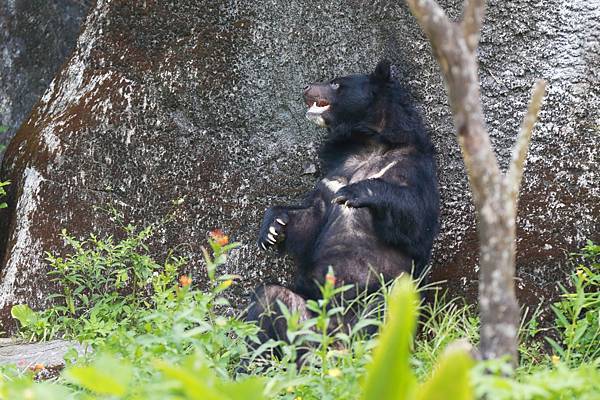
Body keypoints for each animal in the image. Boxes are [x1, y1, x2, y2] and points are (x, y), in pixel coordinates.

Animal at [246, 61, 438, 352]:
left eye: (336, 83)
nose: (306, 87)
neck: (369, 144)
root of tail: (336, 340)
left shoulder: (415, 168)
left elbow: (416, 219)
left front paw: (354, 193)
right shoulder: (333, 175)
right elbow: (311, 219)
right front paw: (272, 228)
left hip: (386, 296)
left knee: (384, 311)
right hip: (307, 312)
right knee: (271, 299)